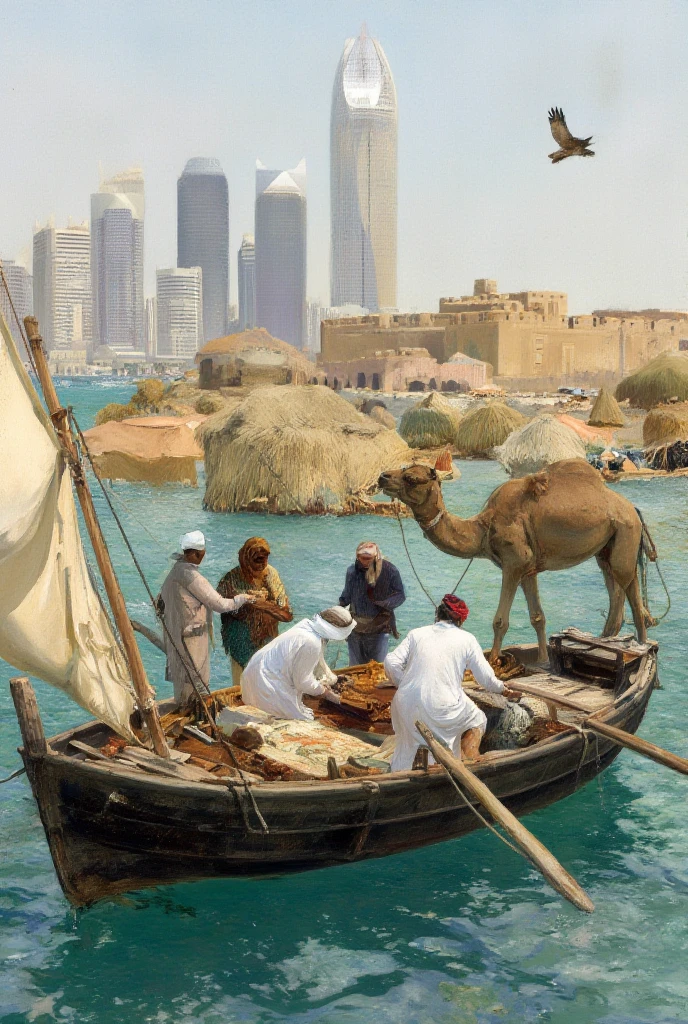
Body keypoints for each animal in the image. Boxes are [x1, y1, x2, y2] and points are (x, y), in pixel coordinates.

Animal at [378, 458, 651, 663]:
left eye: (411, 478)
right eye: (403, 469)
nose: (382, 477)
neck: (483, 528)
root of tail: (633, 509)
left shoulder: (514, 563)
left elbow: (500, 621)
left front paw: (492, 662)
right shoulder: (528, 570)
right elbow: (537, 617)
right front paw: (543, 661)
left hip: (625, 532)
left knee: (631, 593)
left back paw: (640, 648)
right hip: (605, 549)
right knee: (617, 589)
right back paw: (607, 641)